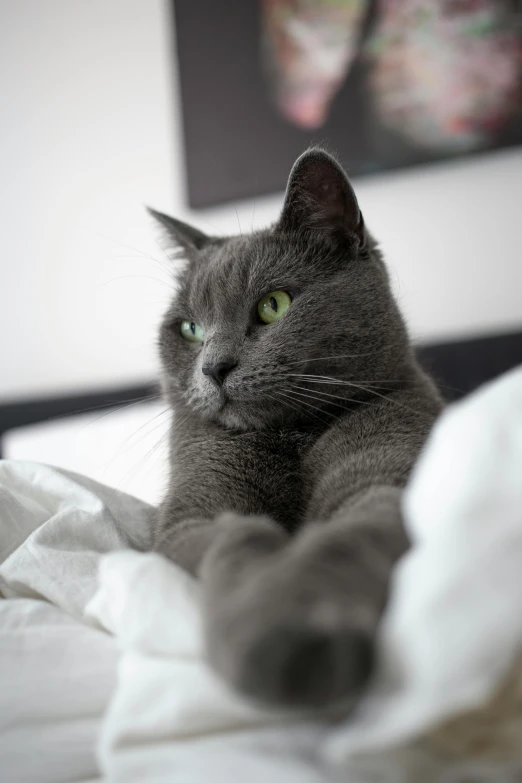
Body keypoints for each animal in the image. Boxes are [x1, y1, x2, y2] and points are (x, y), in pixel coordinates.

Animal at [148, 147, 440, 712]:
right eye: (191, 329)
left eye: (274, 304)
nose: (213, 367)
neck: (291, 438)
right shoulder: (190, 515)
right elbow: (236, 536)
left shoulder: (388, 466)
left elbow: (346, 534)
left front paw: (298, 638)